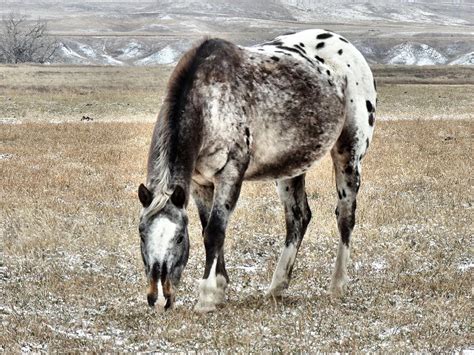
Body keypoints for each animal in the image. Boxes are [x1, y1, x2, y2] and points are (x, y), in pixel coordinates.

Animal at [137, 29, 378, 312]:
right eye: (142, 235)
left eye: (178, 238)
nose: (158, 297)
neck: (208, 103)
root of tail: (348, 47)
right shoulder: (199, 183)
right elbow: (209, 229)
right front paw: (220, 288)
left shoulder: (230, 173)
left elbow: (215, 232)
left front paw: (207, 297)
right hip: (290, 168)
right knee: (298, 218)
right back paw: (277, 287)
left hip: (348, 153)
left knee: (345, 216)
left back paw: (337, 285)